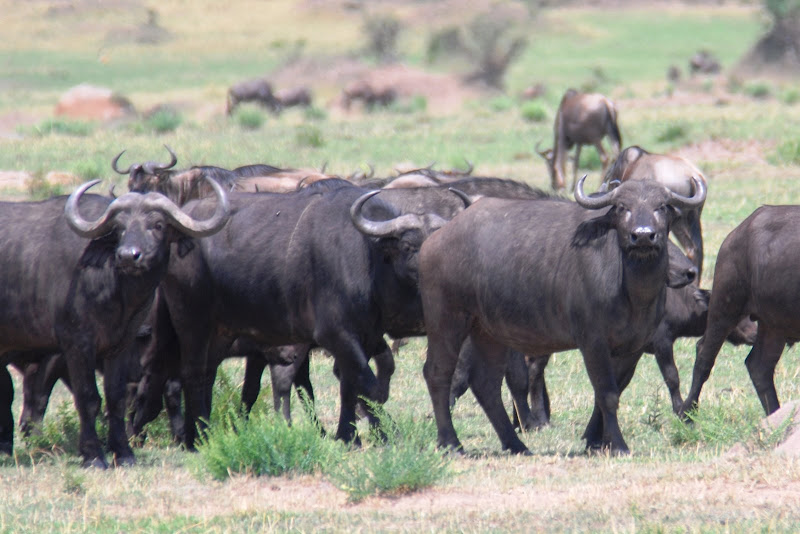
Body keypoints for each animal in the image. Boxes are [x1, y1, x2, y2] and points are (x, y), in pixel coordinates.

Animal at [0, 178, 230, 467]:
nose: (129, 256)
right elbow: (88, 397)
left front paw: (124, 452)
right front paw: (93, 455)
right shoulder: (77, 343)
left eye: (158, 225)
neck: (116, 289)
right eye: (120, 229)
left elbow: (116, 398)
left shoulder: (121, 345)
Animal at [419, 176, 705, 455]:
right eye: (623, 207)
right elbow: (607, 393)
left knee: (485, 383)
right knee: (438, 373)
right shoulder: (593, 342)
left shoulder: (633, 347)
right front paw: (618, 445)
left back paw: (515, 444)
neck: (632, 294)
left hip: (488, 331)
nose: (643, 236)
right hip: (447, 319)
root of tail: (437, 239)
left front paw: (596, 440)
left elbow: (611, 392)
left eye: (662, 207)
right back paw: (451, 443)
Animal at [680, 205, 800, 418]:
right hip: (725, 306)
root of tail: (737, 233)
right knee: (704, 355)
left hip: (774, 325)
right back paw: (687, 413)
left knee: (759, 366)